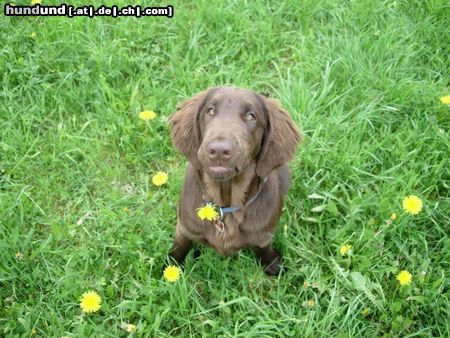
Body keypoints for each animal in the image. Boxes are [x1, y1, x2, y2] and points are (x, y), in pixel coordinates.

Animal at [167, 86, 300, 276]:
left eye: (251, 116)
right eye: (210, 111)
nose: (219, 151)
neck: (226, 207)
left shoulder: (262, 236)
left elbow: (264, 250)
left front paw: (273, 266)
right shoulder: (185, 228)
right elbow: (178, 249)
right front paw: (171, 269)